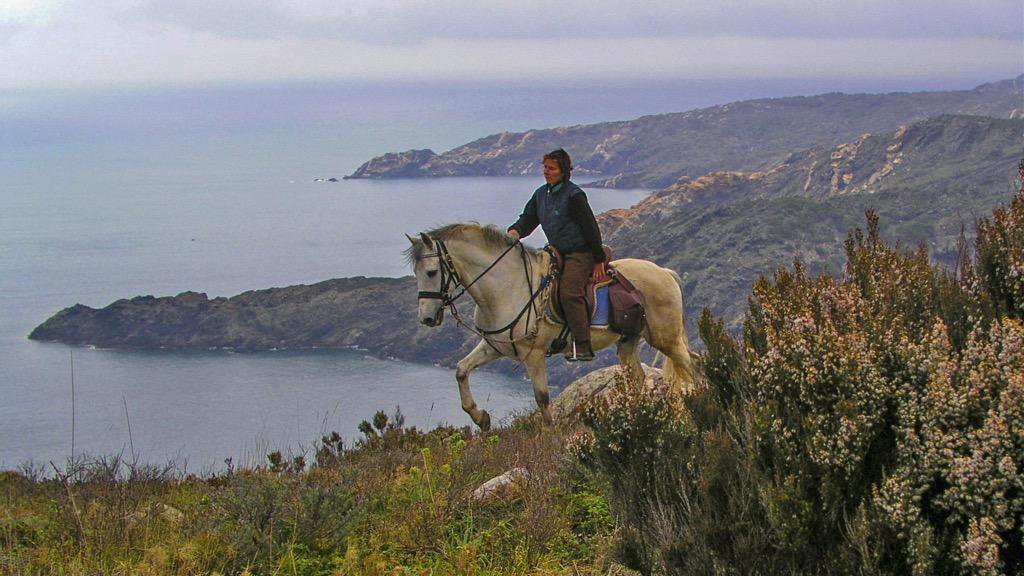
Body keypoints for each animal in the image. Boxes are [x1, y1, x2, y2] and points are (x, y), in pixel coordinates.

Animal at [405, 223, 696, 430]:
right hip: (628, 341)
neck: (508, 288)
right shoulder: (493, 347)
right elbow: (461, 370)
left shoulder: (534, 355)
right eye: (417, 273)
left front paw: (548, 435)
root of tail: (665, 272)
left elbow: (542, 397)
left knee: (692, 366)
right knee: (638, 376)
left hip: (666, 339)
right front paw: (480, 417)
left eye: (431, 272)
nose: (427, 318)